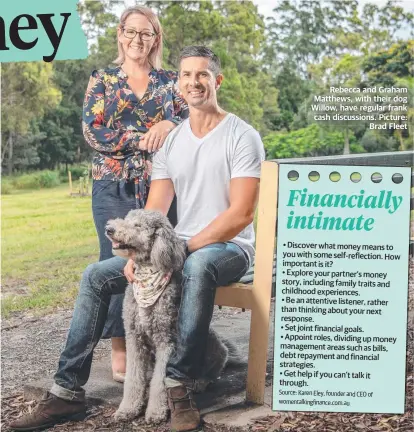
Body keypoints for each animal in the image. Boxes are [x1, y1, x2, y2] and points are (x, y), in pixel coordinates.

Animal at [104, 210, 243, 426]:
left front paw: (155, 412)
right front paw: (127, 409)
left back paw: (198, 383)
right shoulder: (135, 339)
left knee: (211, 372)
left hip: (211, 346)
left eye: (137, 225)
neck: (147, 275)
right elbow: (133, 378)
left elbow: (160, 382)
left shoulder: (167, 342)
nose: (109, 229)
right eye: (127, 219)